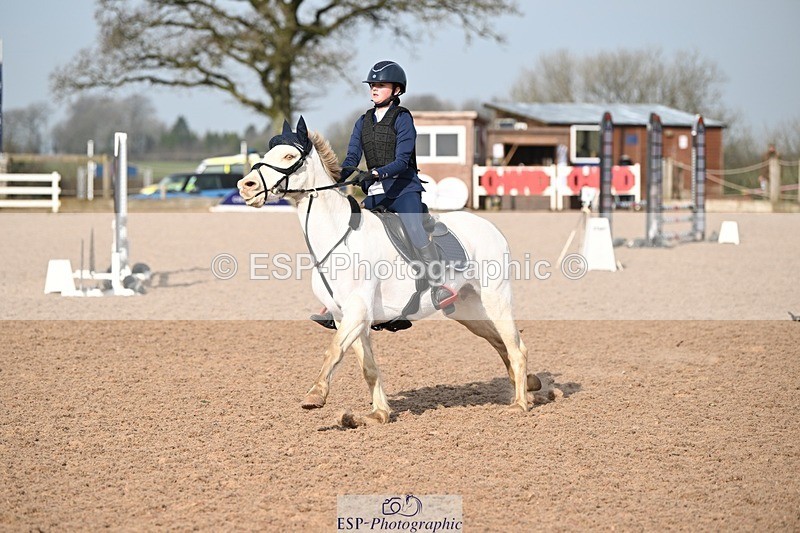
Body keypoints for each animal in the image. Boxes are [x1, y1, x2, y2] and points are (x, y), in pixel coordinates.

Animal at [237, 117, 540, 427]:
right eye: (267, 154)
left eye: (289, 157)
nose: (245, 186)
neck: (337, 237)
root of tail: (490, 227)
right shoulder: (346, 315)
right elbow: (367, 366)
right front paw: (378, 413)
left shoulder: (357, 310)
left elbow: (333, 350)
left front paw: (315, 395)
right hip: (467, 310)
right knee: (501, 343)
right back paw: (530, 386)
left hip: (495, 299)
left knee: (516, 348)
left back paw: (519, 405)